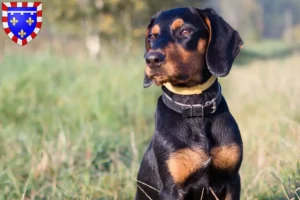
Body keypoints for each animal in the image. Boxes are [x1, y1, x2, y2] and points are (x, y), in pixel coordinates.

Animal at [136, 7, 244, 199]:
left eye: (185, 31)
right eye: (151, 36)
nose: (151, 59)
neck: (195, 105)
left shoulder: (232, 180)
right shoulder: (171, 189)